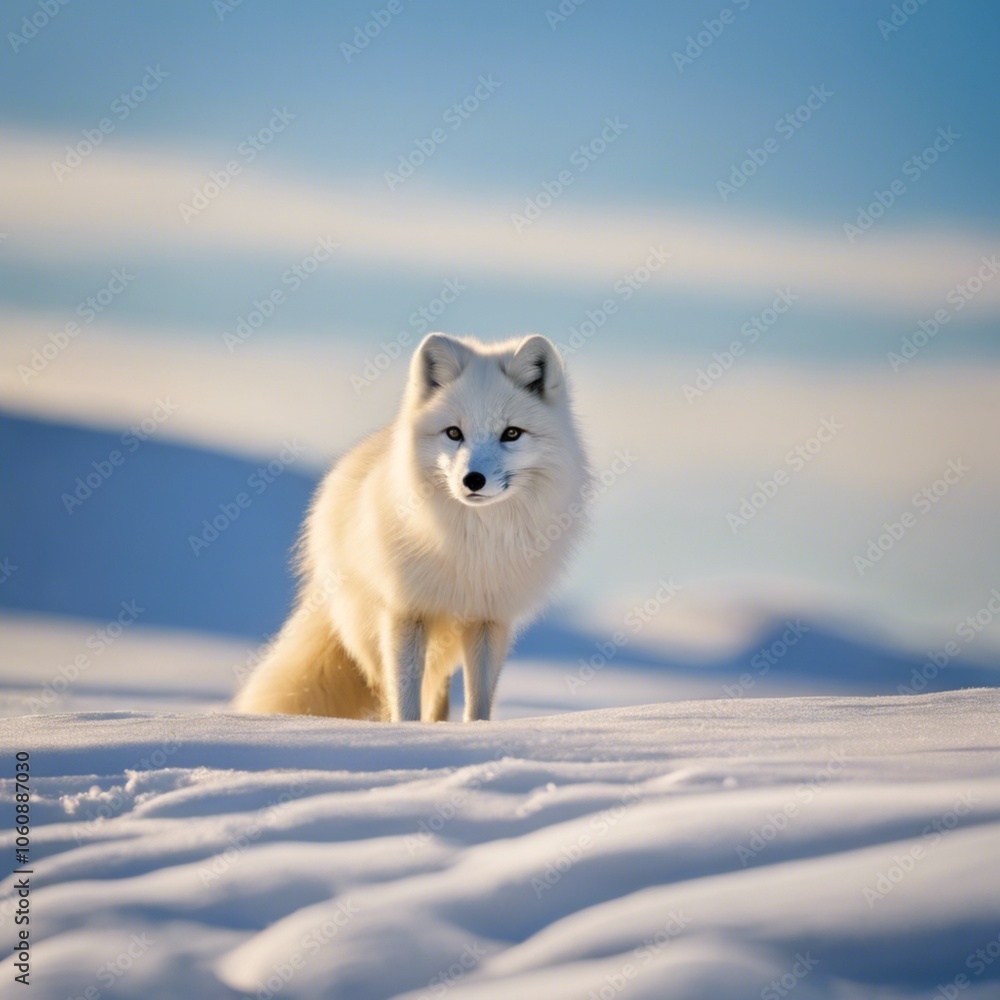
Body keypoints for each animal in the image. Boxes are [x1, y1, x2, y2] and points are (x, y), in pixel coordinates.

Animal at [234, 333, 589, 722]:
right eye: (454, 433)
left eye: (511, 433)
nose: (473, 480)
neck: (471, 543)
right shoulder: (405, 612)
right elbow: (404, 701)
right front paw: (407, 730)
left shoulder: (488, 619)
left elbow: (479, 701)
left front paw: (477, 730)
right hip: (370, 634)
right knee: (389, 690)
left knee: (437, 693)